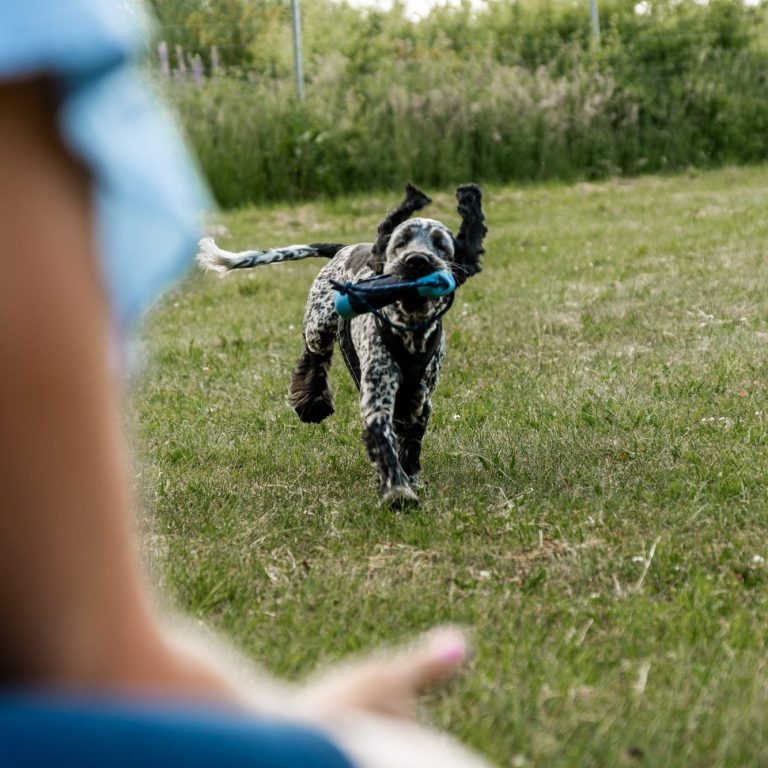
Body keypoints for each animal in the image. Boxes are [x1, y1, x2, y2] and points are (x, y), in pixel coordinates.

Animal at [198, 183, 486, 508]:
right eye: (400, 243)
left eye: (441, 246)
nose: (416, 261)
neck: (409, 327)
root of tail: (344, 247)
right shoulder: (376, 395)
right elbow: (383, 440)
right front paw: (397, 491)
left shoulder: (419, 399)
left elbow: (411, 440)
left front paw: (409, 478)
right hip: (319, 325)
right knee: (313, 356)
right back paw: (312, 402)